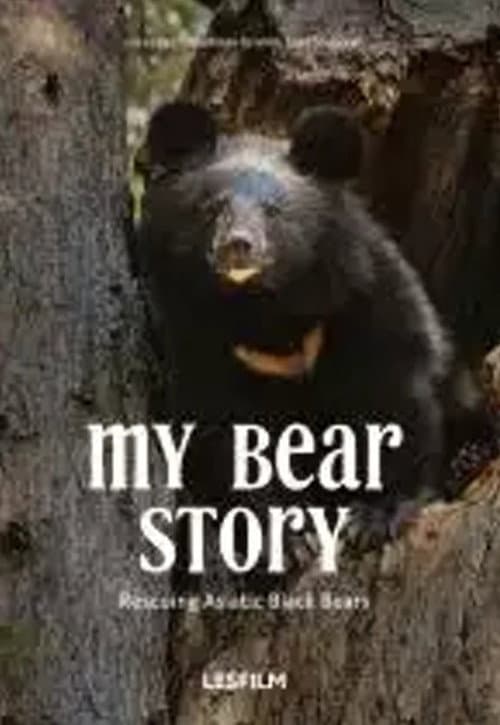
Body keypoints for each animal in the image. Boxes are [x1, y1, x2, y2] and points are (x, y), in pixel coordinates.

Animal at [133, 101, 494, 580]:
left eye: (274, 211)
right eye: (210, 207)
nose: (237, 246)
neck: (266, 314)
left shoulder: (369, 304)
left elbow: (397, 401)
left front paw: (374, 518)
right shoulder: (200, 344)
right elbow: (228, 435)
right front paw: (287, 542)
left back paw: (467, 459)